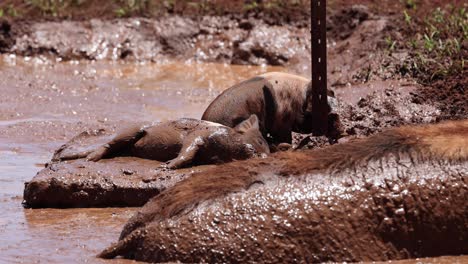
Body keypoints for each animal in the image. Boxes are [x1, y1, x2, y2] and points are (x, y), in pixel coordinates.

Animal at [59, 115, 268, 169]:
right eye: (258, 140)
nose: (264, 156)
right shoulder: (196, 136)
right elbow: (186, 152)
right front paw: (165, 167)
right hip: (130, 131)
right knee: (108, 145)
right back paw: (91, 160)